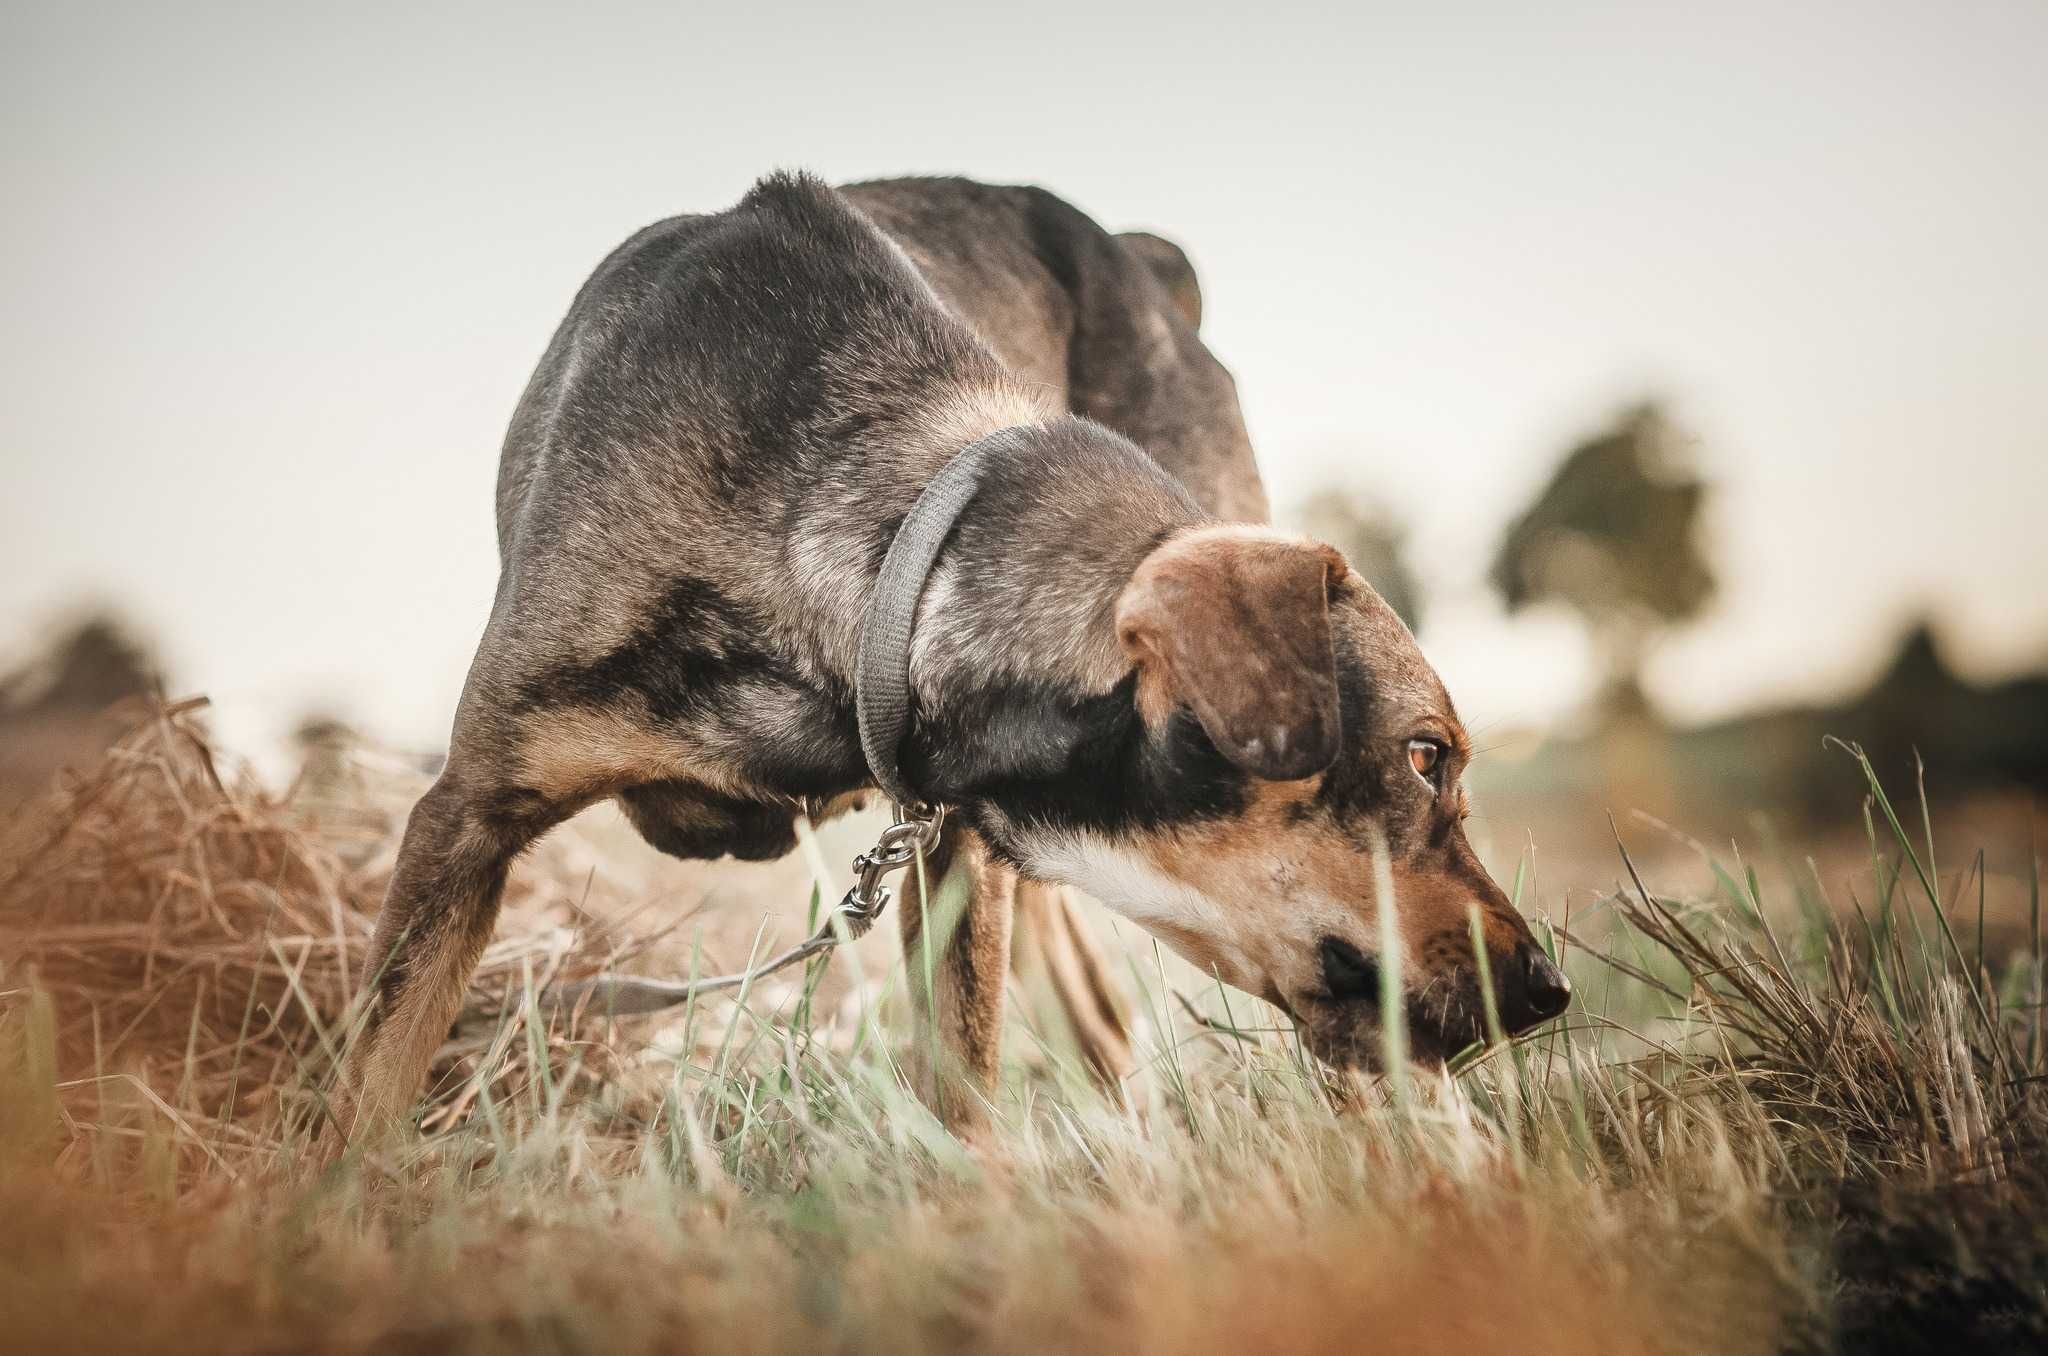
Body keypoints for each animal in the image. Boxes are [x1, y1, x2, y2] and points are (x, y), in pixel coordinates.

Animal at [339, 173, 1564, 1147]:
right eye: (1425, 756)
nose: (1550, 989)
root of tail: (1143, 261)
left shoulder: (951, 856)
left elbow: (961, 1099)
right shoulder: (465, 815)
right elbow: (371, 1080)